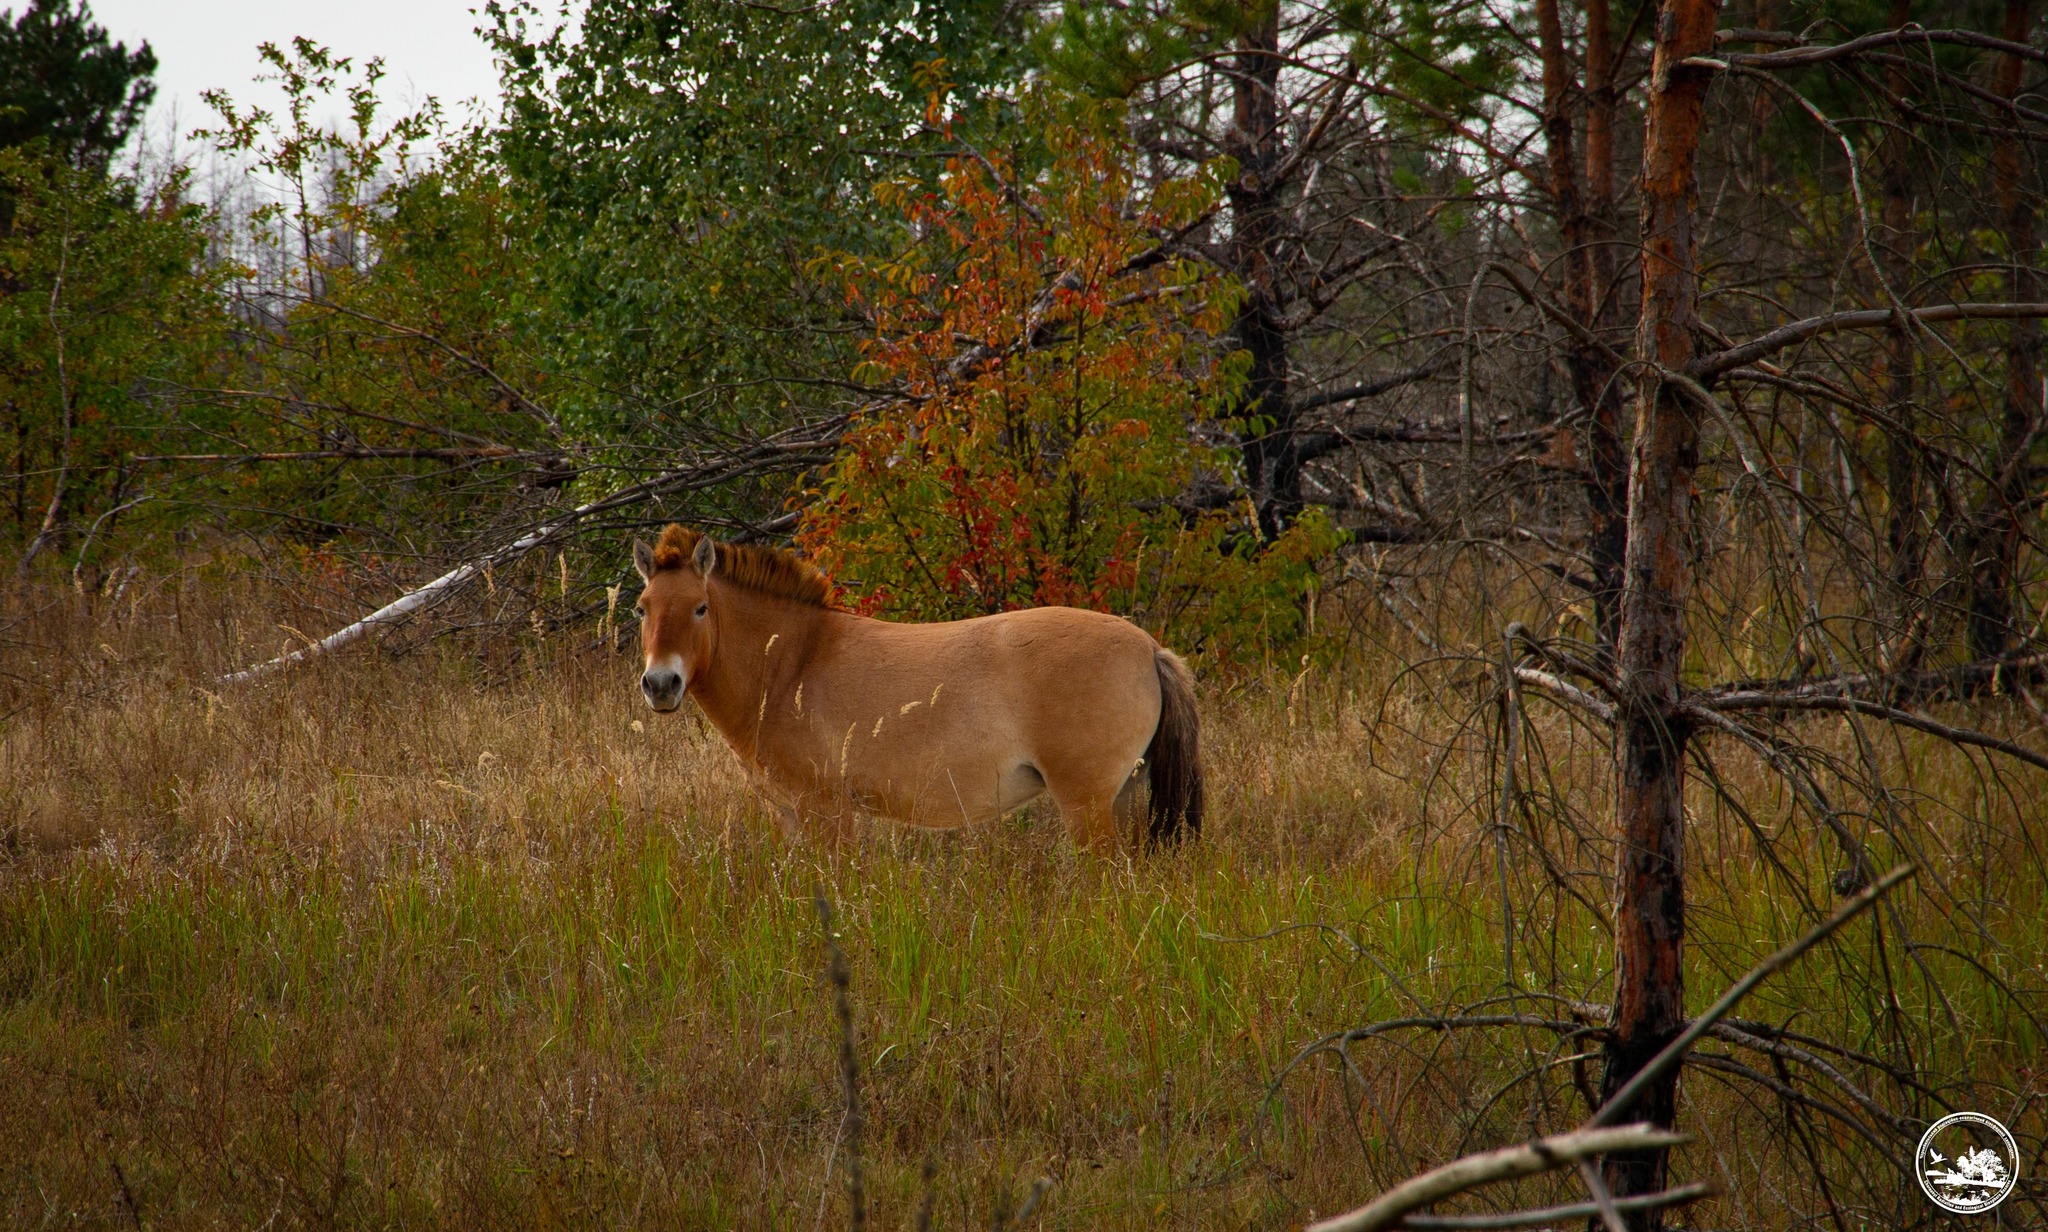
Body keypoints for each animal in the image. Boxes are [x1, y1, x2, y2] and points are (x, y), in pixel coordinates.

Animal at [626, 517, 1196, 843]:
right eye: (641, 608)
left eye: (700, 608)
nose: (661, 684)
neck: (789, 665)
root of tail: (1149, 648)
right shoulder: (788, 814)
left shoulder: (826, 812)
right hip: (1122, 799)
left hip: (1088, 806)